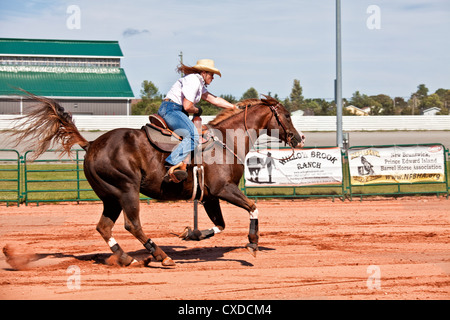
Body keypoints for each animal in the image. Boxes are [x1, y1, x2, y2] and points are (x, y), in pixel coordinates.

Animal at [8, 92, 306, 268]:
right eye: (286, 115)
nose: (298, 138)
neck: (226, 141)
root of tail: (92, 143)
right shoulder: (224, 189)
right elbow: (254, 207)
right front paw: (253, 243)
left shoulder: (209, 197)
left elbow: (219, 225)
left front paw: (192, 234)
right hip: (126, 190)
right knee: (132, 225)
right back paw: (161, 256)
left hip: (110, 197)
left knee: (104, 227)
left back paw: (126, 258)